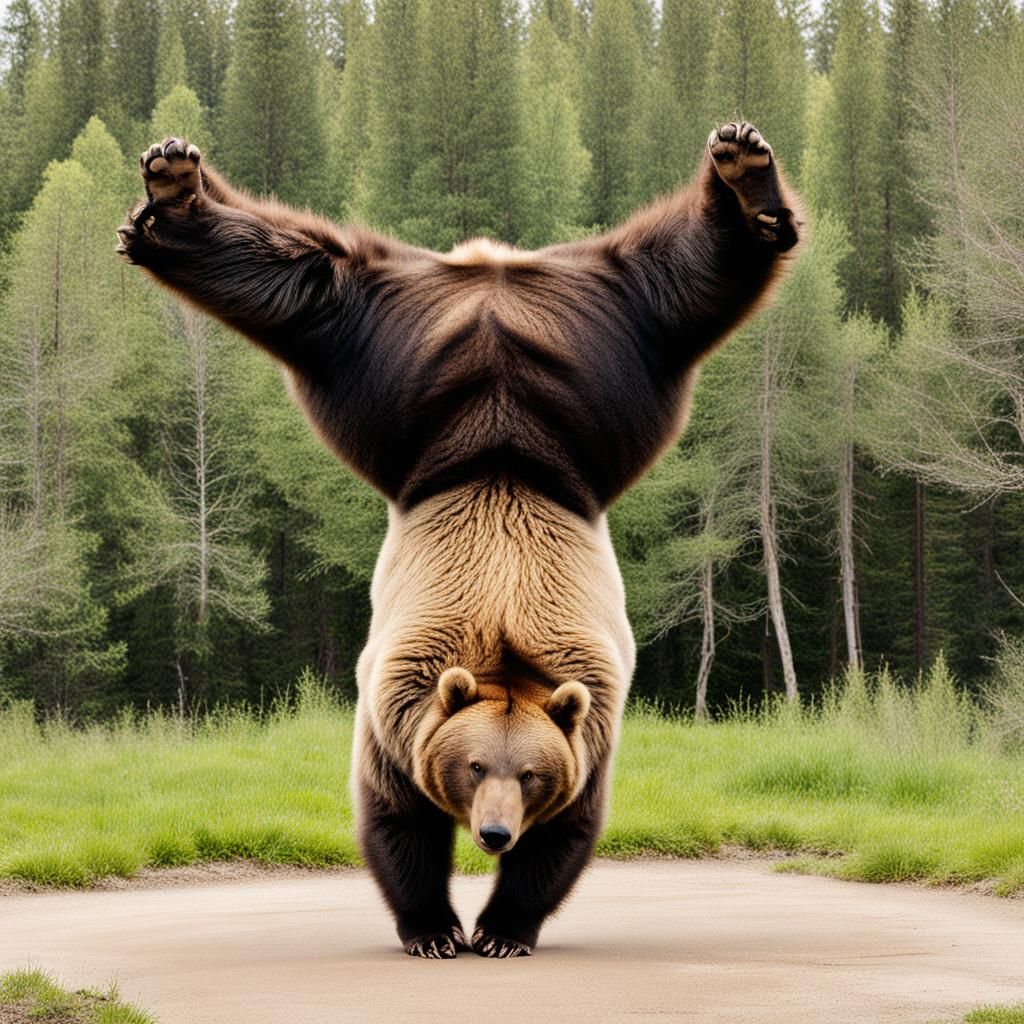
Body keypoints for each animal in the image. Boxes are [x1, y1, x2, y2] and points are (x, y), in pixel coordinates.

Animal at [117, 120, 801, 958]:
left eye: (530, 774)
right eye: (475, 766)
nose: (496, 833)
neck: (504, 658)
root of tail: (490, 274)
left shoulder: (589, 730)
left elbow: (565, 838)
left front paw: (503, 927)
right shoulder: (396, 718)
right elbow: (397, 821)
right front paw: (435, 927)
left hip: (600, 345)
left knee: (680, 281)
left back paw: (745, 175)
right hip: (394, 347)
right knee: (296, 283)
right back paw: (173, 187)